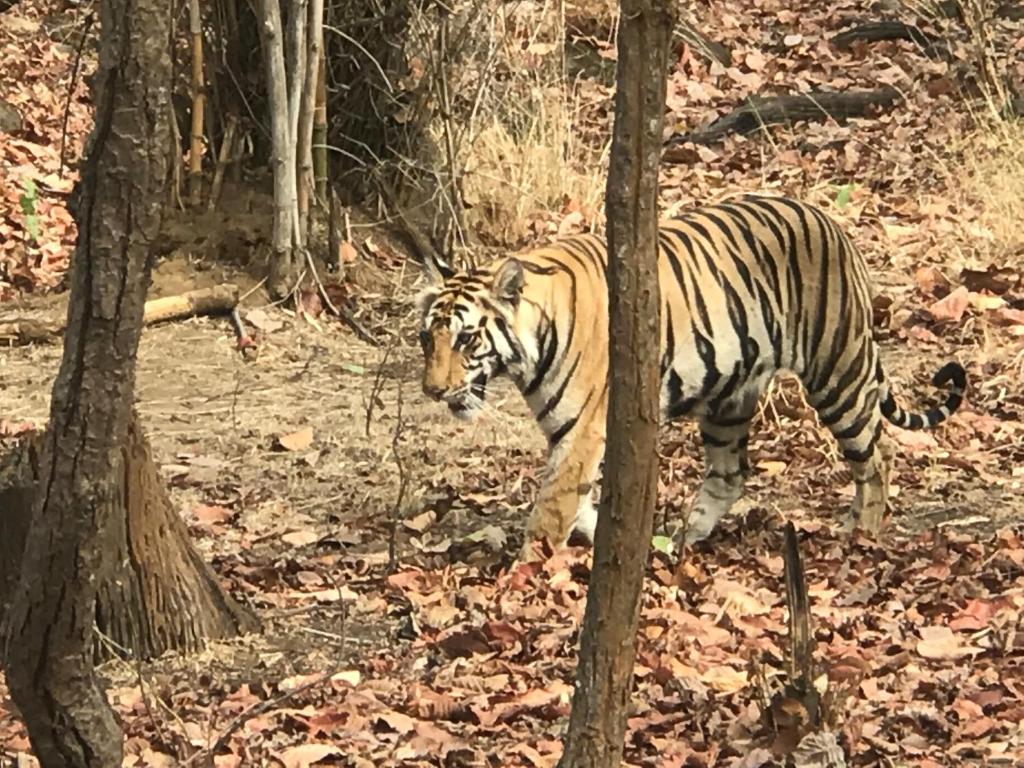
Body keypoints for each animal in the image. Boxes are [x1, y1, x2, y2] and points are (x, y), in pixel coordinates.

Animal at [411, 195, 962, 561]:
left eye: (466, 339)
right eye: (426, 339)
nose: (433, 391)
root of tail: (834, 224)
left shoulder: (582, 430)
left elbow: (551, 507)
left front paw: (524, 574)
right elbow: (578, 500)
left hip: (837, 373)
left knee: (878, 453)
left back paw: (860, 532)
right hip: (728, 399)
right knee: (730, 474)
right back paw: (682, 540)